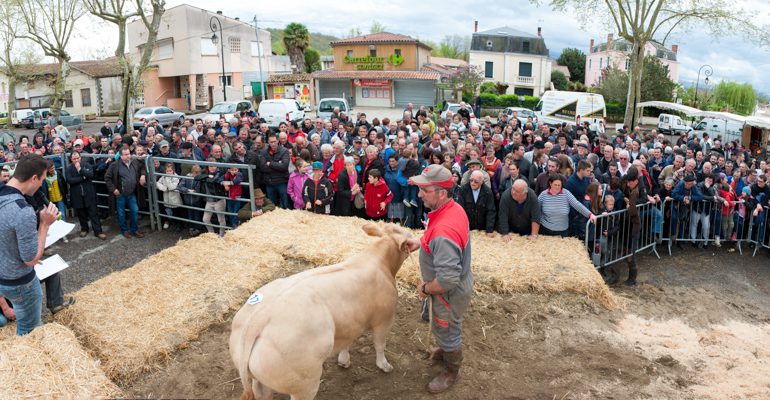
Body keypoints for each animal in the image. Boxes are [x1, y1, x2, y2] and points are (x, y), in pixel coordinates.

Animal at [228, 223, 420, 398]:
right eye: (406, 233)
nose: (417, 240)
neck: (379, 262)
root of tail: (260, 317)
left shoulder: (350, 321)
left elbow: (347, 341)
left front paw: (344, 360)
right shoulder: (384, 318)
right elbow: (380, 345)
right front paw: (384, 365)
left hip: (262, 380)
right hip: (304, 383)